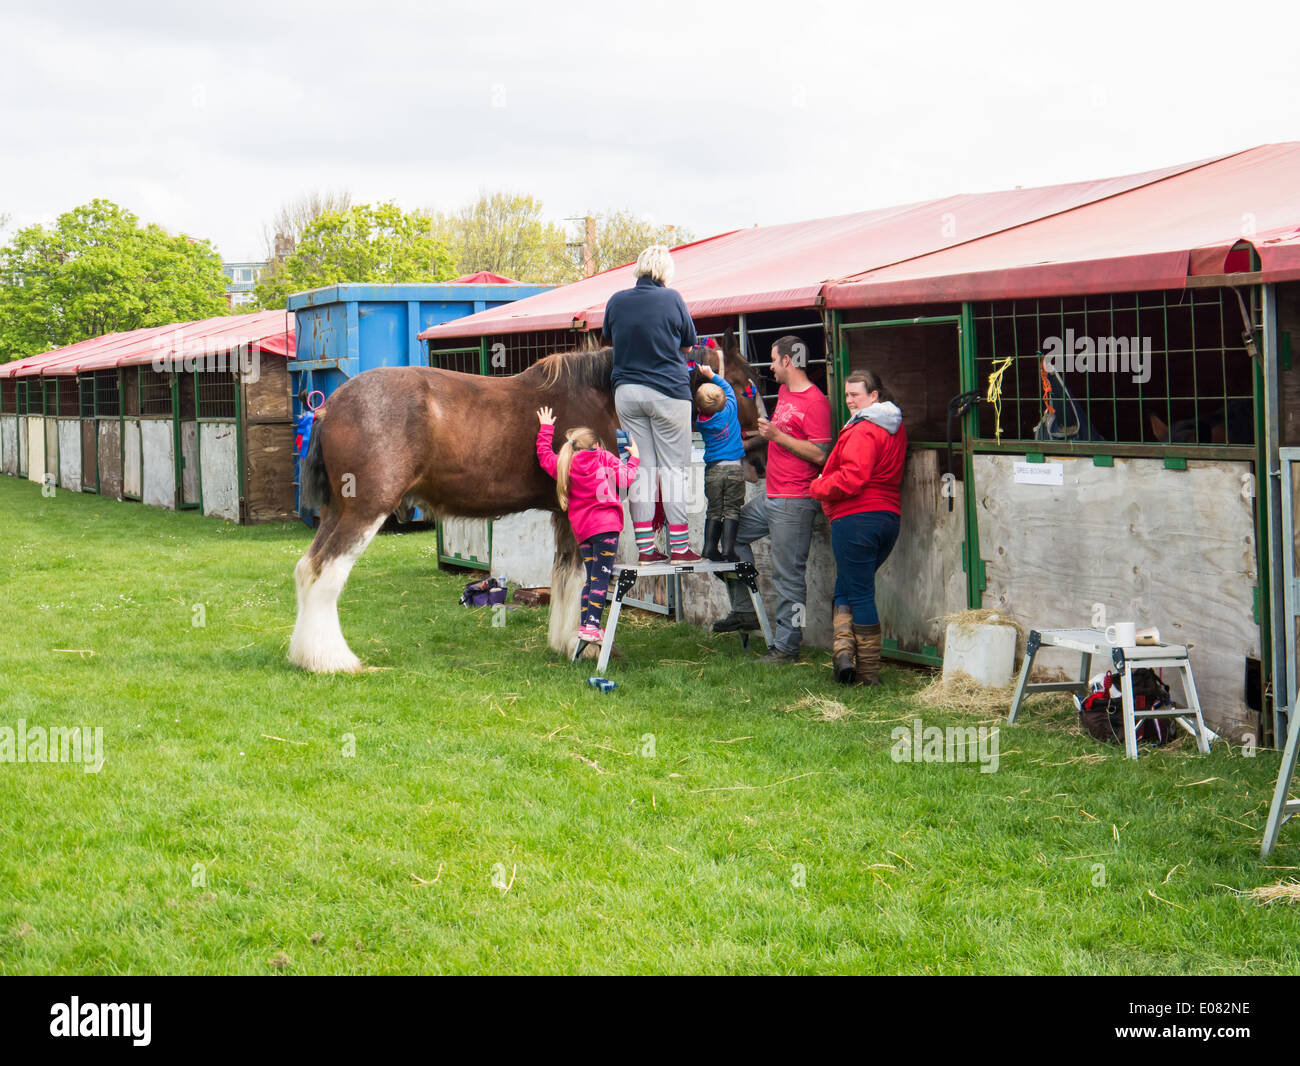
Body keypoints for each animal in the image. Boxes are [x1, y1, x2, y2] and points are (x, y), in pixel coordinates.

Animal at [292, 345, 616, 670]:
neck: (590, 393)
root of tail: (329, 408)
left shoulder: (562, 516)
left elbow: (565, 578)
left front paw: (565, 644)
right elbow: (584, 580)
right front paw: (581, 646)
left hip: (336, 511)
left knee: (308, 568)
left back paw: (307, 656)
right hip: (366, 510)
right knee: (326, 571)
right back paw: (333, 660)